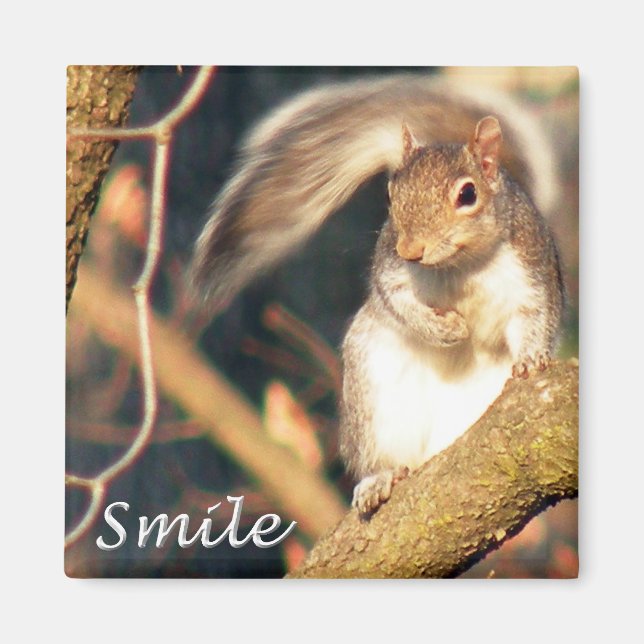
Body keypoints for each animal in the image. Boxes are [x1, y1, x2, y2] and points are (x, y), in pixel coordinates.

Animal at [190, 74, 565, 516]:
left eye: (467, 195)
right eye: (391, 194)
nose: (411, 250)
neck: (460, 266)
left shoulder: (531, 267)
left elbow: (535, 315)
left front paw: (530, 358)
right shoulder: (391, 267)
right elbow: (395, 300)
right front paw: (444, 330)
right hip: (374, 385)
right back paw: (380, 477)